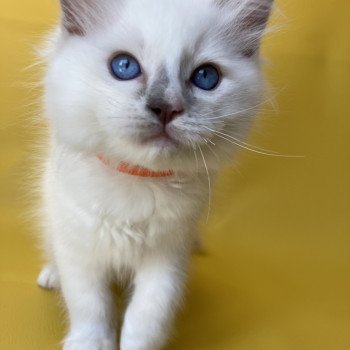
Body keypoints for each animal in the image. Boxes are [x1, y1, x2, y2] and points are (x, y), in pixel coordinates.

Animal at [37, 0, 274, 350]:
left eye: (206, 77)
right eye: (124, 66)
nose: (167, 108)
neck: (138, 178)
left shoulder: (168, 255)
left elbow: (147, 317)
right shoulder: (79, 247)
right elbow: (90, 305)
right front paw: (90, 342)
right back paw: (51, 276)